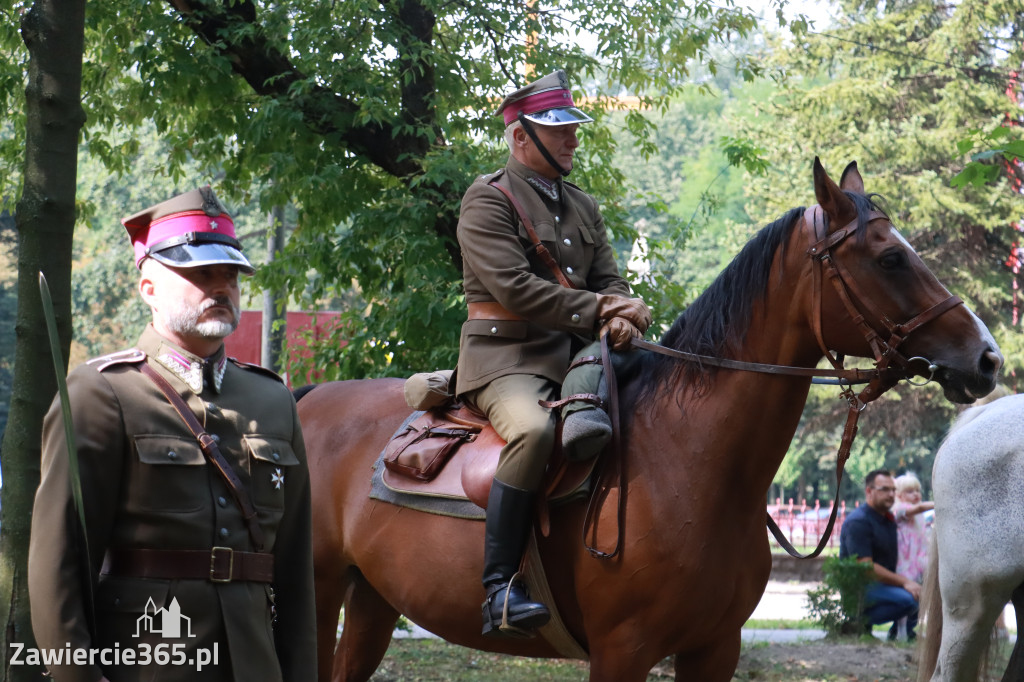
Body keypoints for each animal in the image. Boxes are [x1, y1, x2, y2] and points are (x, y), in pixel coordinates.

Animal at [299, 159, 999, 679]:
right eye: (889, 259)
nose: (987, 358)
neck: (692, 463)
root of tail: (305, 400)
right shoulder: (622, 652)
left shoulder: (714, 650)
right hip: (320, 588)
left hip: (371, 599)